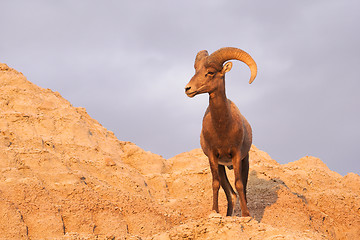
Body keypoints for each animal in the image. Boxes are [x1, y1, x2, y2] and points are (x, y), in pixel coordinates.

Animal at [184, 47, 258, 218]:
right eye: (196, 70)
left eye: (210, 72)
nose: (188, 89)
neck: (222, 129)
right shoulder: (213, 157)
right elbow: (215, 184)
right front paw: (214, 211)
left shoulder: (237, 155)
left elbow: (239, 184)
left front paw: (246, 215)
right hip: (222, 167)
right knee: (230, 194)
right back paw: (228, 215)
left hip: (244, 162)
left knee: (241, 189)